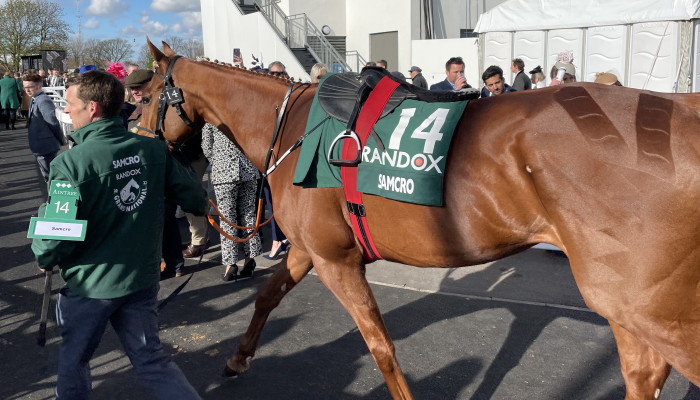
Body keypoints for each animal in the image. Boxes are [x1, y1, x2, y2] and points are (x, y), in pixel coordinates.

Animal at [141, 41, 700, 400]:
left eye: (145, 95)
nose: (143, 140)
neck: (297, 128)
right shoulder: (310, 250)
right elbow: (266, 297)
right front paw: (238, 358)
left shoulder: (336, 261)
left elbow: (380, 346)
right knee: (643, 374)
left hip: (638, 302)